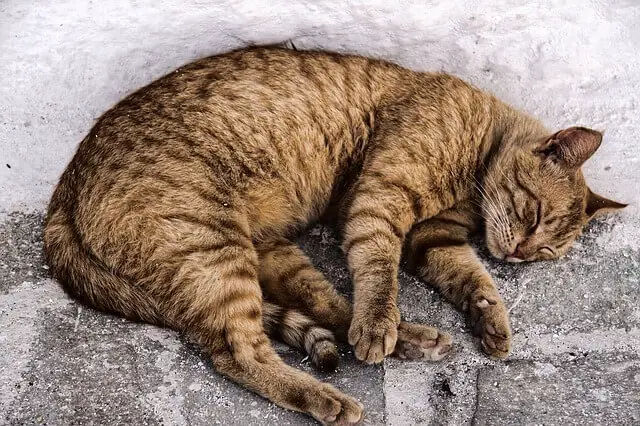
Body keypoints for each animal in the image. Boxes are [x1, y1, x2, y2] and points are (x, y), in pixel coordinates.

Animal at [43, 45, 624, 424]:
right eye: (534, 214)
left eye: (544, 250)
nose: (520, 252)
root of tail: (63, 192)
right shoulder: (381, 198)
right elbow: (379, 271)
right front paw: (381, 320)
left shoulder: (431, 237)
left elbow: (470, 276)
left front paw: (490, 318)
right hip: (214, 248)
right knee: (239, 351)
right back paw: (334, 394)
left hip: (261, 250)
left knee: (326, 308)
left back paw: (411, 338)